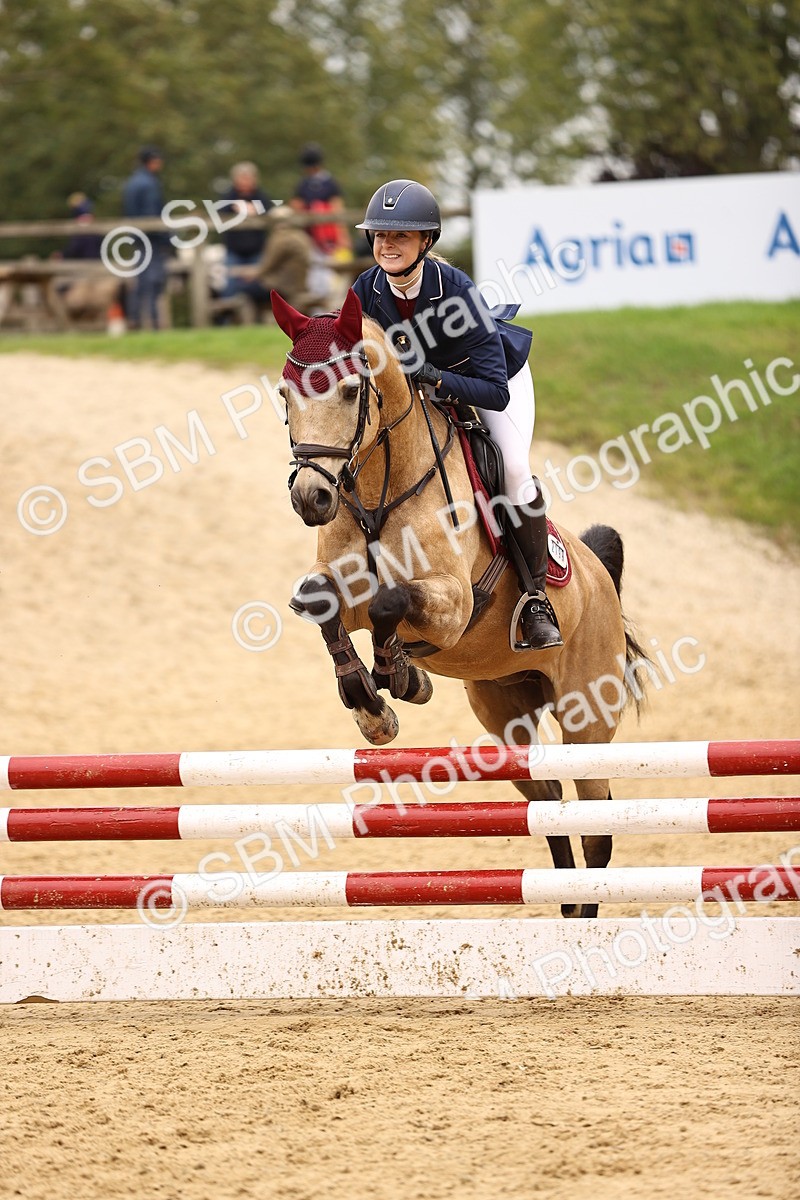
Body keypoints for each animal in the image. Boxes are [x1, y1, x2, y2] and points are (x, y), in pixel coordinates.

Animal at [272, 288, 650, 917]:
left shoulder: (451, 606)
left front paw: (397, 677)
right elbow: (322, 600)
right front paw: (372, 703)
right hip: (505, 710)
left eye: (350, 391)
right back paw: (566, 906)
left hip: (587, 719)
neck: (378, 487)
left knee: (597, 827)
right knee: (546, 802)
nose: (311, 498)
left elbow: (390, 603)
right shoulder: (342, 588)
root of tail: (599, 577)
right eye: (285, 395)